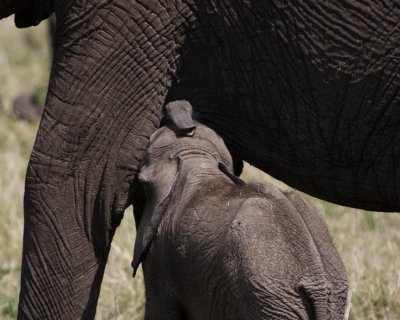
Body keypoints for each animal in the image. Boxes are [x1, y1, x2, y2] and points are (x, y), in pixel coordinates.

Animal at [132, 100, 346, 320]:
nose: (175, 106)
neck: (196, 159)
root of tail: (317, 286)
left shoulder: (159, 255)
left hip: (266, 300)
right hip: (325, 300)